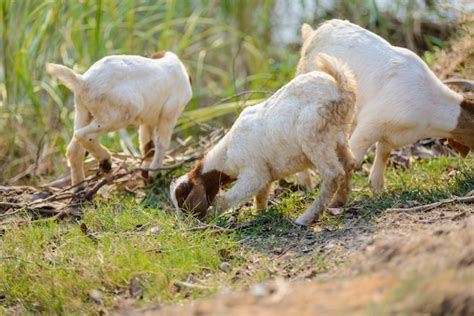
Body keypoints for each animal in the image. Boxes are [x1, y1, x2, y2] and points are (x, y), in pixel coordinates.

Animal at [46, 50, 191, 186]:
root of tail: (83, 81)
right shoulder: (170, 113)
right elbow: (162, 144)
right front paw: (154, 176)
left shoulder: (147, 121)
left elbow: (148, 146)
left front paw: (146, 174)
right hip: (118, 115)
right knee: (83, 135)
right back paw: (106, 162)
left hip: (83, 113)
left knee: (74, 150)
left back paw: (80, 189)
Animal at [170, 55, 356, 227]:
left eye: (182, 200)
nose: (184, 223)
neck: (227, 154)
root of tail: (340, 87)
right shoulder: (266, 173)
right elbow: (261, 194)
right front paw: (260, 212)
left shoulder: (253, 173)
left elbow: (232, 196)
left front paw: (214, 215)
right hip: (339, 136)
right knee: (349, 163)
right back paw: (337, 202)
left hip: (314, 136)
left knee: (333, 174)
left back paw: (307, 218)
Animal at [296, 19, 474, 204]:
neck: (430, 105)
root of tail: (314, 32)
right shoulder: (370, 124)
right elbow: (352, 160)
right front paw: (336, 201)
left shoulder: (391, 133)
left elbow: (383, 153)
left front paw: (377, 188)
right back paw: (306, 183)